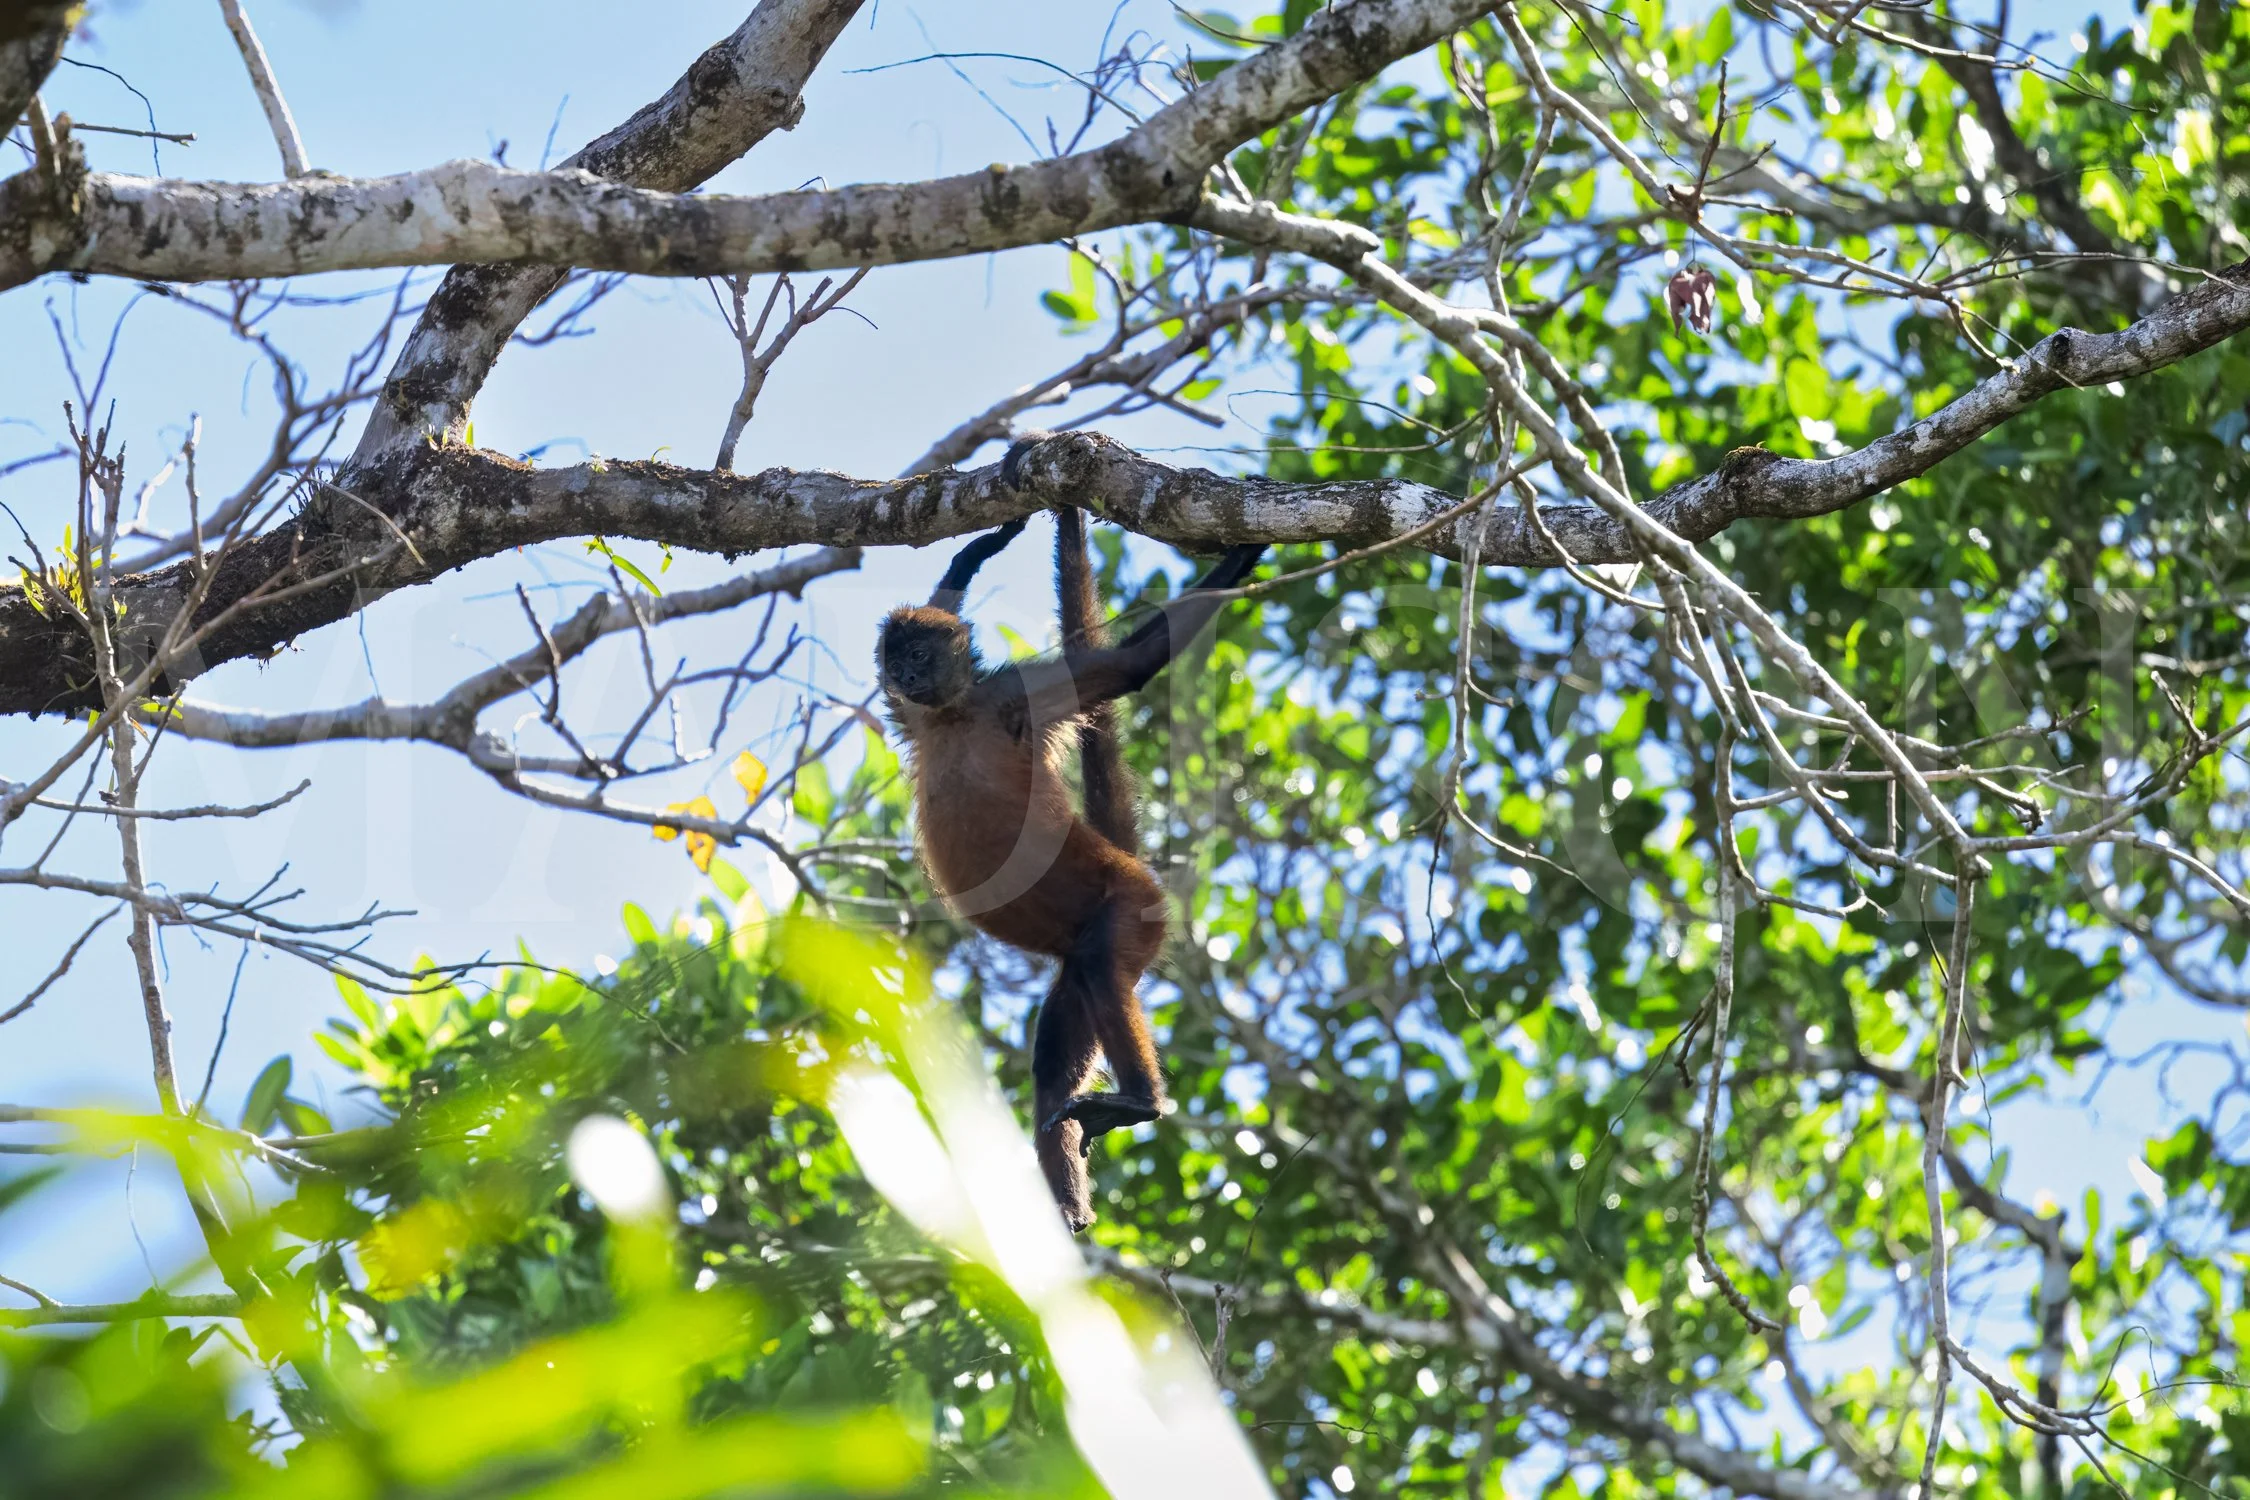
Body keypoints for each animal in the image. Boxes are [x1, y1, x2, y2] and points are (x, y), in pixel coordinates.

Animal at [876, 469, 1263, 1232]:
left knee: (1096, 966)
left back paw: (1140, 1103)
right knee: (1054, 1065)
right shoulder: (914, 715)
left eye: (919, 654)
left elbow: (1133, 667)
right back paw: (1067, 1205)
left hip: (1129, 911)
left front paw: (1250, 545)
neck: (954, 716)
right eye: (897, 658)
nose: (904, 672)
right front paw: (975, 551)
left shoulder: (1010, 696)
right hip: (1079, 977)